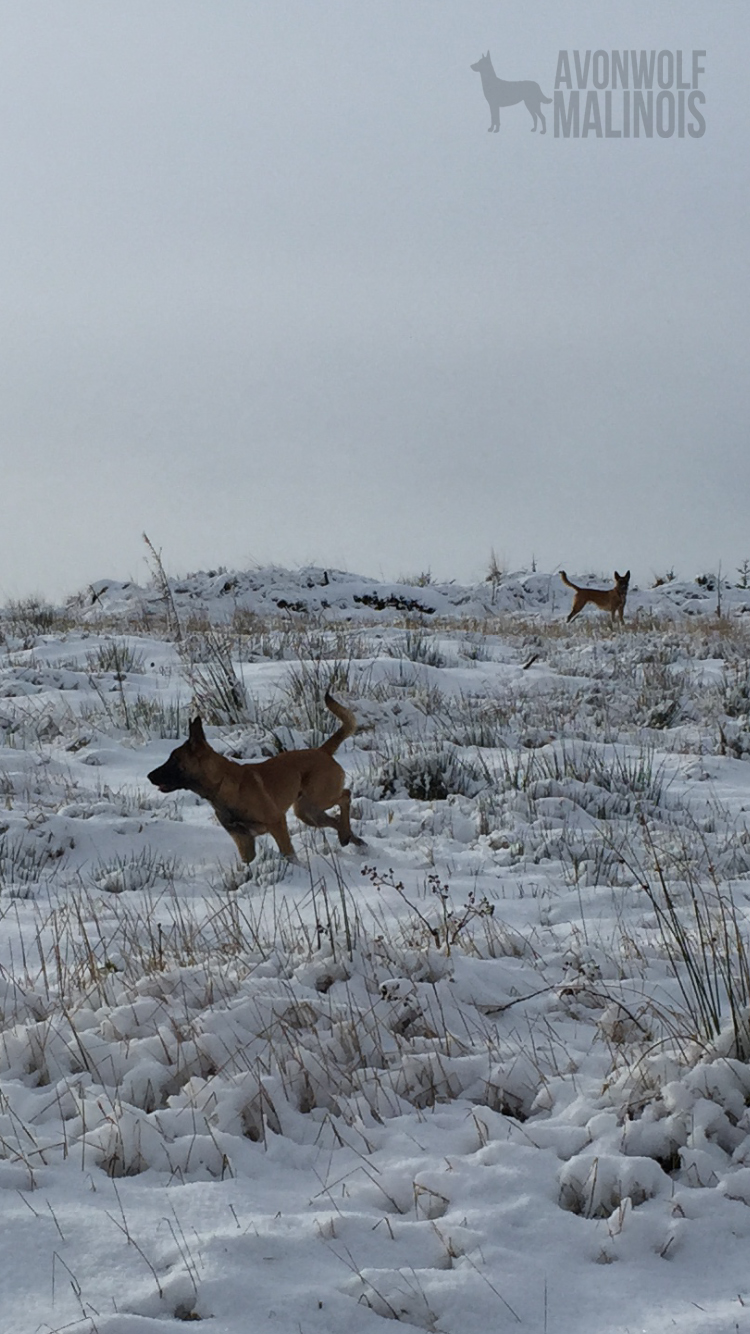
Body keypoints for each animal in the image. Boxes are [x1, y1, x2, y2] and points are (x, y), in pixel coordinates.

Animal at [147, 692, 363, 863]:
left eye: (174, 760)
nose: (149, 776)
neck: (221, 784)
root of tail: (322, 751)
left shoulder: (277, 823)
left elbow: (289, 854)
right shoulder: (243, 839)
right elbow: (248, 864)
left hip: (316, 800)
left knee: (345, 795)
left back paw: (347, 833)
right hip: (308, 811)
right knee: (336, 819)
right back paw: (349, 837)